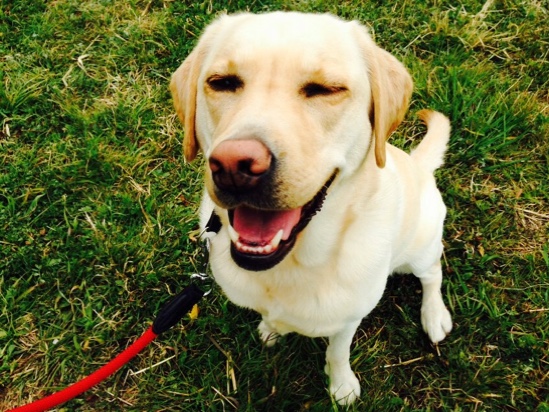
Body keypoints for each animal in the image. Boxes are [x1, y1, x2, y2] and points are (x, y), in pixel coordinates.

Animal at [170, 11, 453, 405]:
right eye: (222, 83)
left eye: (325, 89)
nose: (234, 166)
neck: (295, 265)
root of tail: (420, 167)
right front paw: (272, 328)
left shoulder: (348, 319)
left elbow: (337, 351)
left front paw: (341, 386)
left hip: (421, 245)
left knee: (433, 274)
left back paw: (434, 315)